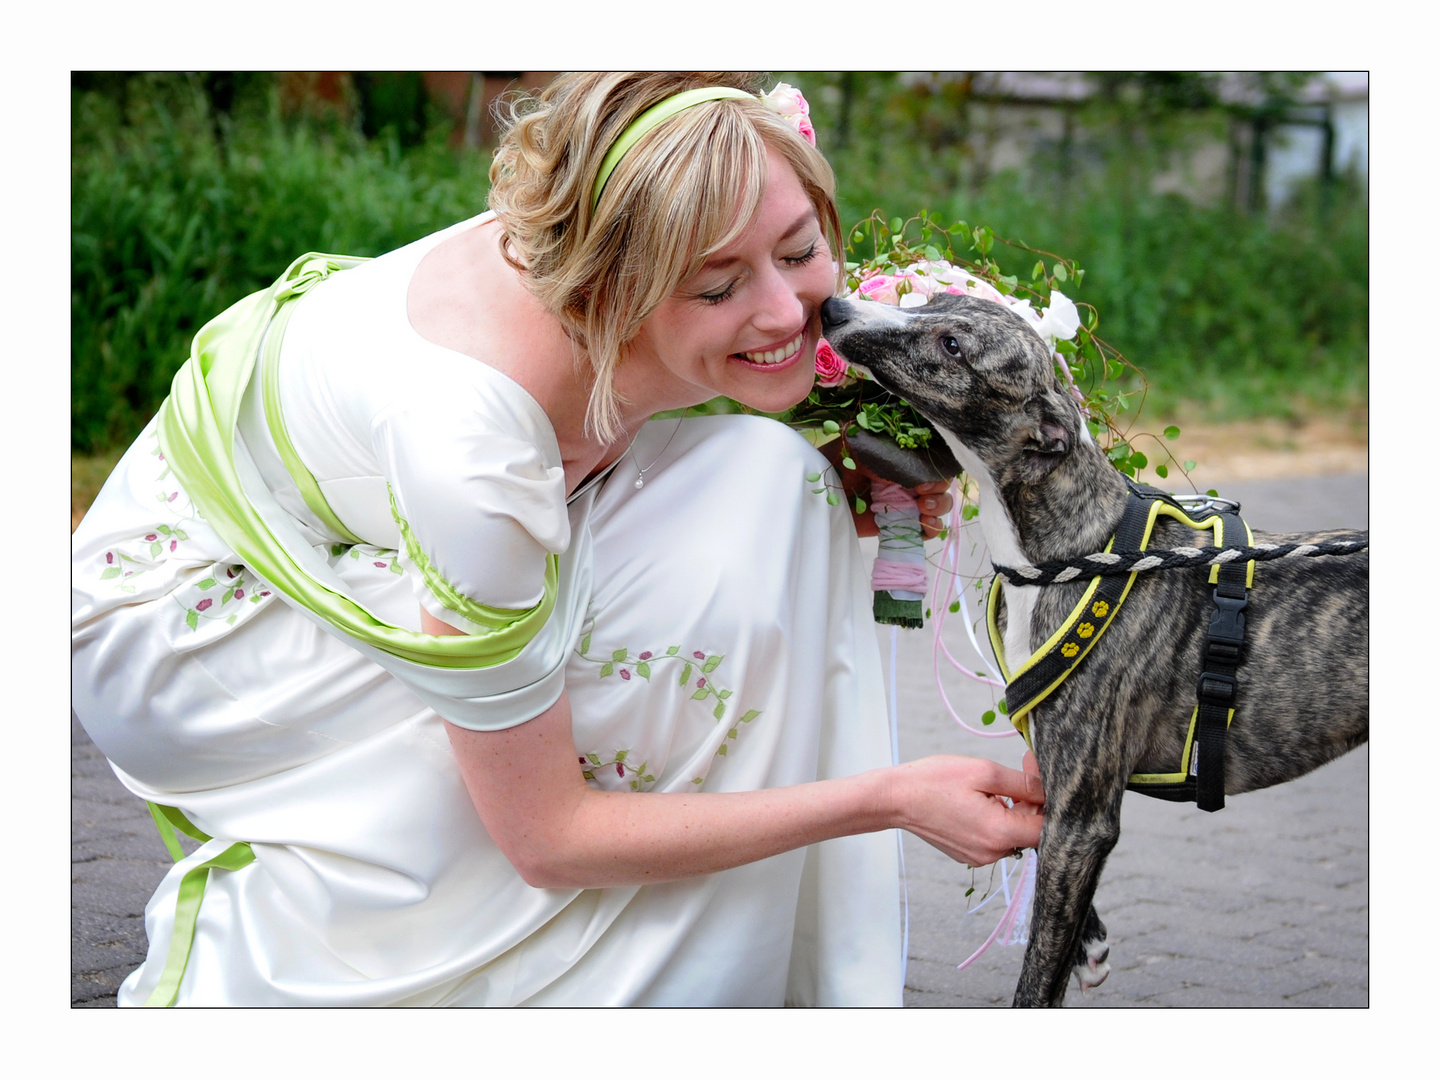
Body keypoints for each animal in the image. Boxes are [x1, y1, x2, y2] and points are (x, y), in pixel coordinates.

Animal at [817, 292, 1365, 1013]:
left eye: (953, 346)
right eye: (932, 301)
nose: (832, 305)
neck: (1078, 551)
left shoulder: (1084, 814)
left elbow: (1037, 978)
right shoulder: (1063, 796)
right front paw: (1091, 940)